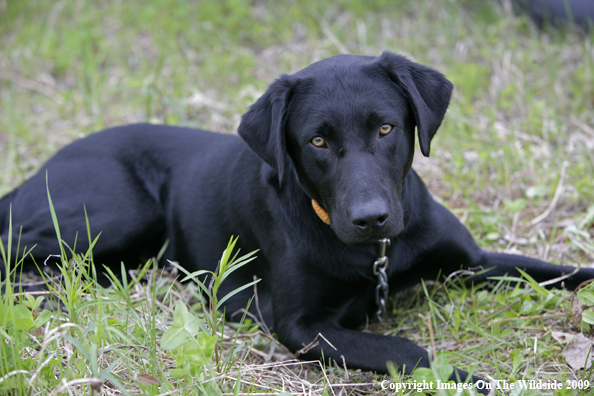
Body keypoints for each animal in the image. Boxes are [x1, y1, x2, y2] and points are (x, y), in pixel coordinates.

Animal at [0, 52, 588, 386]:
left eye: (386, 128)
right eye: (317, 141)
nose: (371, 219)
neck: (376, 256)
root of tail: (39, 170)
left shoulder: (473, 262)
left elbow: (560, 271)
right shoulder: (301, 326)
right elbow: (404, 348)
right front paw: (471, 376)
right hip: (116, 214)